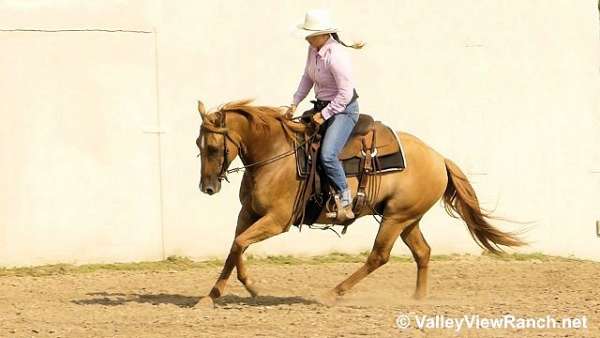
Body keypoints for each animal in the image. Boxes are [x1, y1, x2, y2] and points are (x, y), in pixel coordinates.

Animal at [193, 99, 524, 308]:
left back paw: (332, 293)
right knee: (423, 252)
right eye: (199, 144)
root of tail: (439, 157)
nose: (207, 187)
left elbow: (239, 244)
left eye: (214, 147)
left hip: (395, 218)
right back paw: (418, 299)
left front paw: (248, 287)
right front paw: (214, 295)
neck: (275, 155)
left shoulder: (277, 220)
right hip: (407, 220)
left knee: (378, 257)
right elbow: (235, 246)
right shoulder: (248, 213)